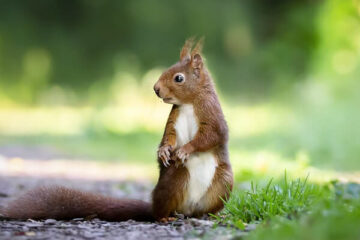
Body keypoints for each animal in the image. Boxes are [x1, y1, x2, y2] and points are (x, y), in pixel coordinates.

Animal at [0, 38, 233, 222]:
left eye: (179, 78)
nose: (156, 89)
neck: (189, 103)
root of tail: (187, 209)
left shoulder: (212, 115)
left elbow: (211, 136)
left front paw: (185, 150)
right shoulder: (173, 120)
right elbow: (169, 136)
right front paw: (163, 151)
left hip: (223, 182)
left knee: (204, 207)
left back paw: (209, 215)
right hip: (176, 179)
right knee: (161, 210)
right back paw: (165, 216)